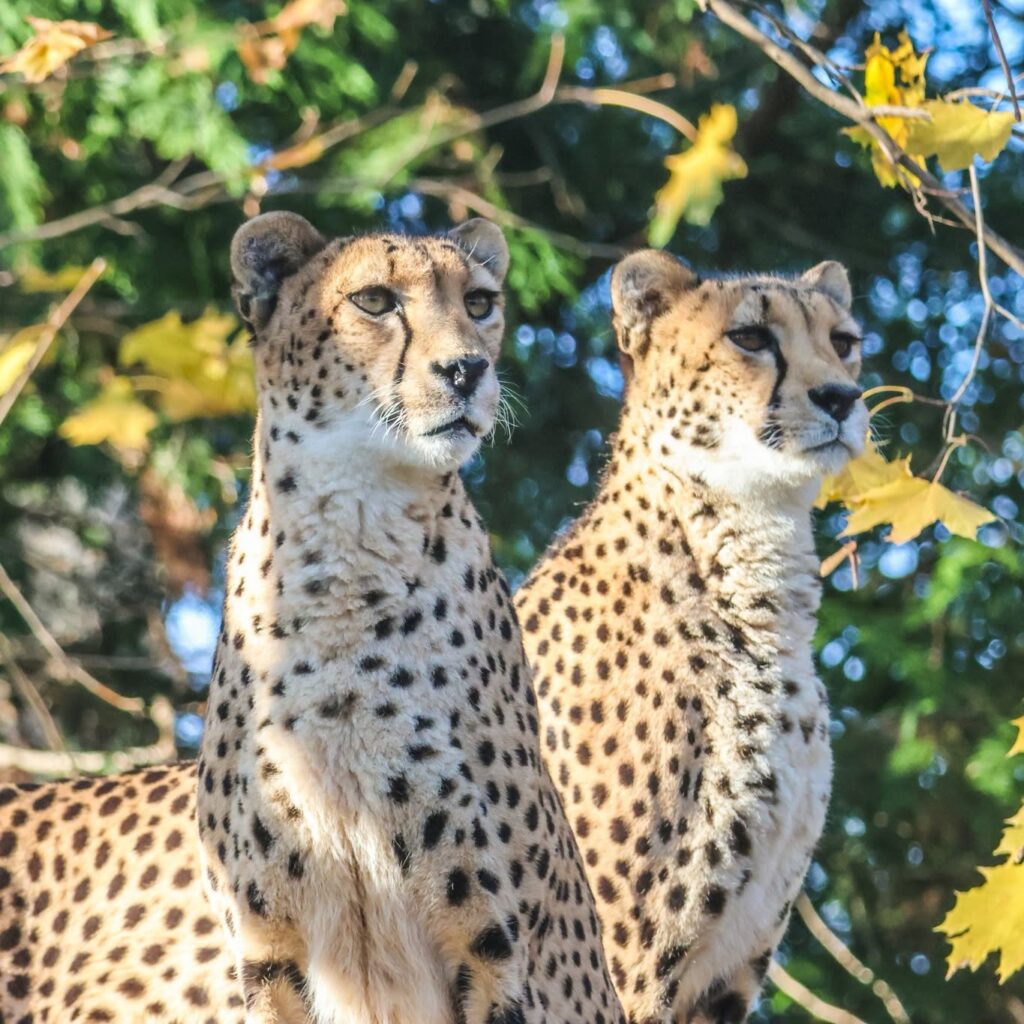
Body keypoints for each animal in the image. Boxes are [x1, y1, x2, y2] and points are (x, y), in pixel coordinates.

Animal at [0, 213, 626, 1024]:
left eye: (480, 303)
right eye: (375, 300)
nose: (467, 370)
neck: (349, 537)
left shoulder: (497, 949)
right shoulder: (270, 946)